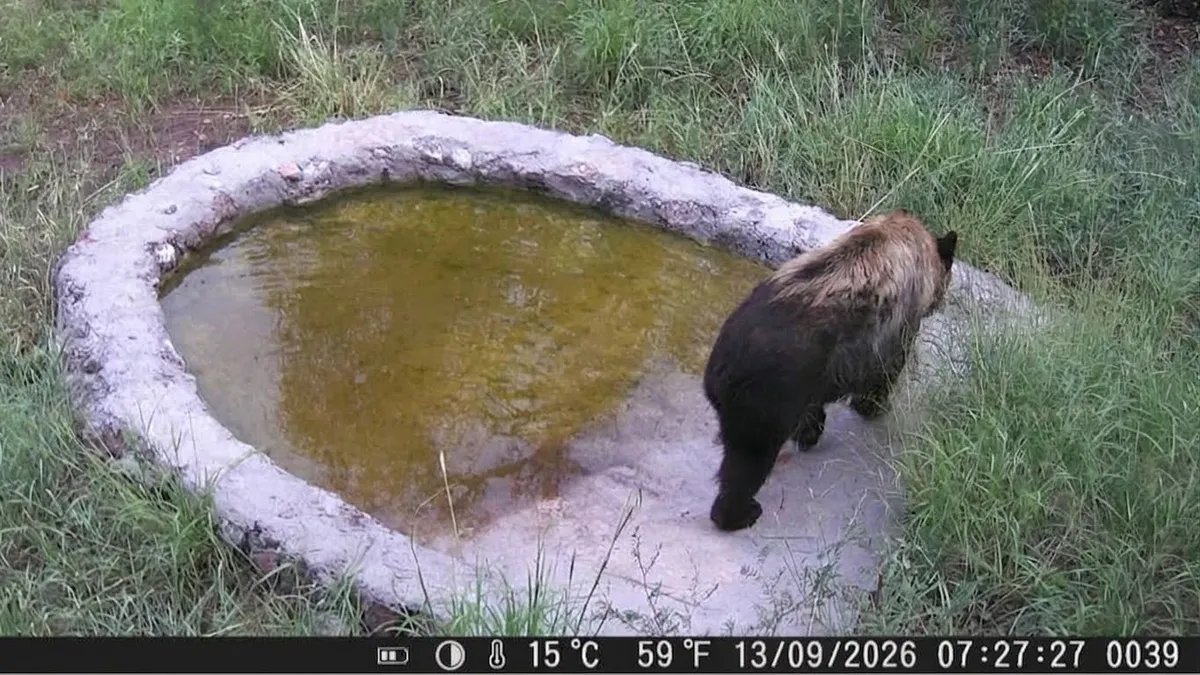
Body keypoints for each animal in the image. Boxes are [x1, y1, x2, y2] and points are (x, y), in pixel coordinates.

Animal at [702, 208, 958, 532]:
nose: (941, 301)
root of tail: (720, 369)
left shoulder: (819, 371)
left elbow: (814, 404)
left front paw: (810, 430)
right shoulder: (896, 328)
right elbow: (885, 373)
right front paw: (873, 407)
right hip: (763, 401)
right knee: (746, 463)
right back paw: (741, 513)